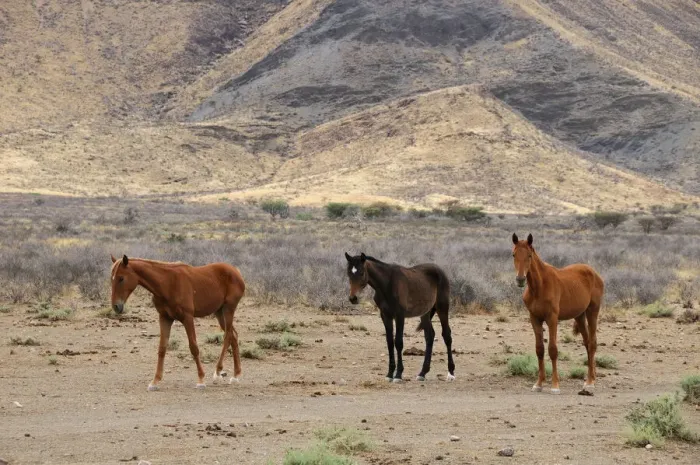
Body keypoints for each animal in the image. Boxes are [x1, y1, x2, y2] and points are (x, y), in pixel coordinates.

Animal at [110, 255, 245, 391]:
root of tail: (236, 272)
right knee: (234, 335)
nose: (116, 306)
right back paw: (236, 376)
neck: (167, 284)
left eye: (121, 278)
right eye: (112, 279)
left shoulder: (187, 318)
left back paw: (218, 372)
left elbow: (194, 347)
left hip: (228, 309)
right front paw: (155, 381)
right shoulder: (164, 318)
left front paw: (201, 379)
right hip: (219, 312)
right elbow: (162, 348)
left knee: (228, 336)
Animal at [345, 252, 455, 383]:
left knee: (447, 335)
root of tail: (440, 271)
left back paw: (451, 373)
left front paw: (398, 375)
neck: (387, 284)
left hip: (442, 308)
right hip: (425, 313)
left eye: (361, 272)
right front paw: (389, 374)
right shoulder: (385, 316)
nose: (353, 298)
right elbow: (389, 342)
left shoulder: (400, 315)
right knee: (430, 335)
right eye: (348, 273)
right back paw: (422, 373)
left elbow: (398, 342)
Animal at [511, 233, 604, 394]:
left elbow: (553, 349)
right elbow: (539, 349)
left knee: (592, 343)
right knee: (587, 343)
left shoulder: (552, 319)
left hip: (592, 311)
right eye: (514, 254)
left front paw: (555, 385)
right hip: (579, 316)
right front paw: (539, 384)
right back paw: (591, 377)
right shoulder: (534, 318)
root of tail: (594, 272)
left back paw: (590, 382)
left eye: (529, 255)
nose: (520, 280)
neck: (539, 286)